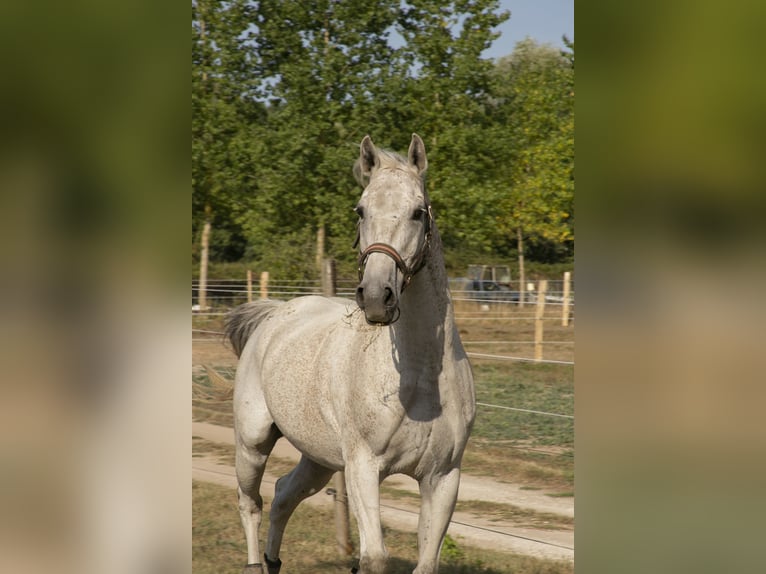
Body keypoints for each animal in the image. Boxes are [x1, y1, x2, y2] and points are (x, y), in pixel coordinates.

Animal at [225, 134, 474, 574]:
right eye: (360, 210)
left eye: (417, 212)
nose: (376, 297)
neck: (421, 376)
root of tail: (274, 314)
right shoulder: (363, 467)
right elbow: (373, 558)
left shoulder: (443, 478)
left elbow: (426, 563)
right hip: (252, 443)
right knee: (250, 503)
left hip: (318, 459)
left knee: (283, 494)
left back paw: (274, 561)